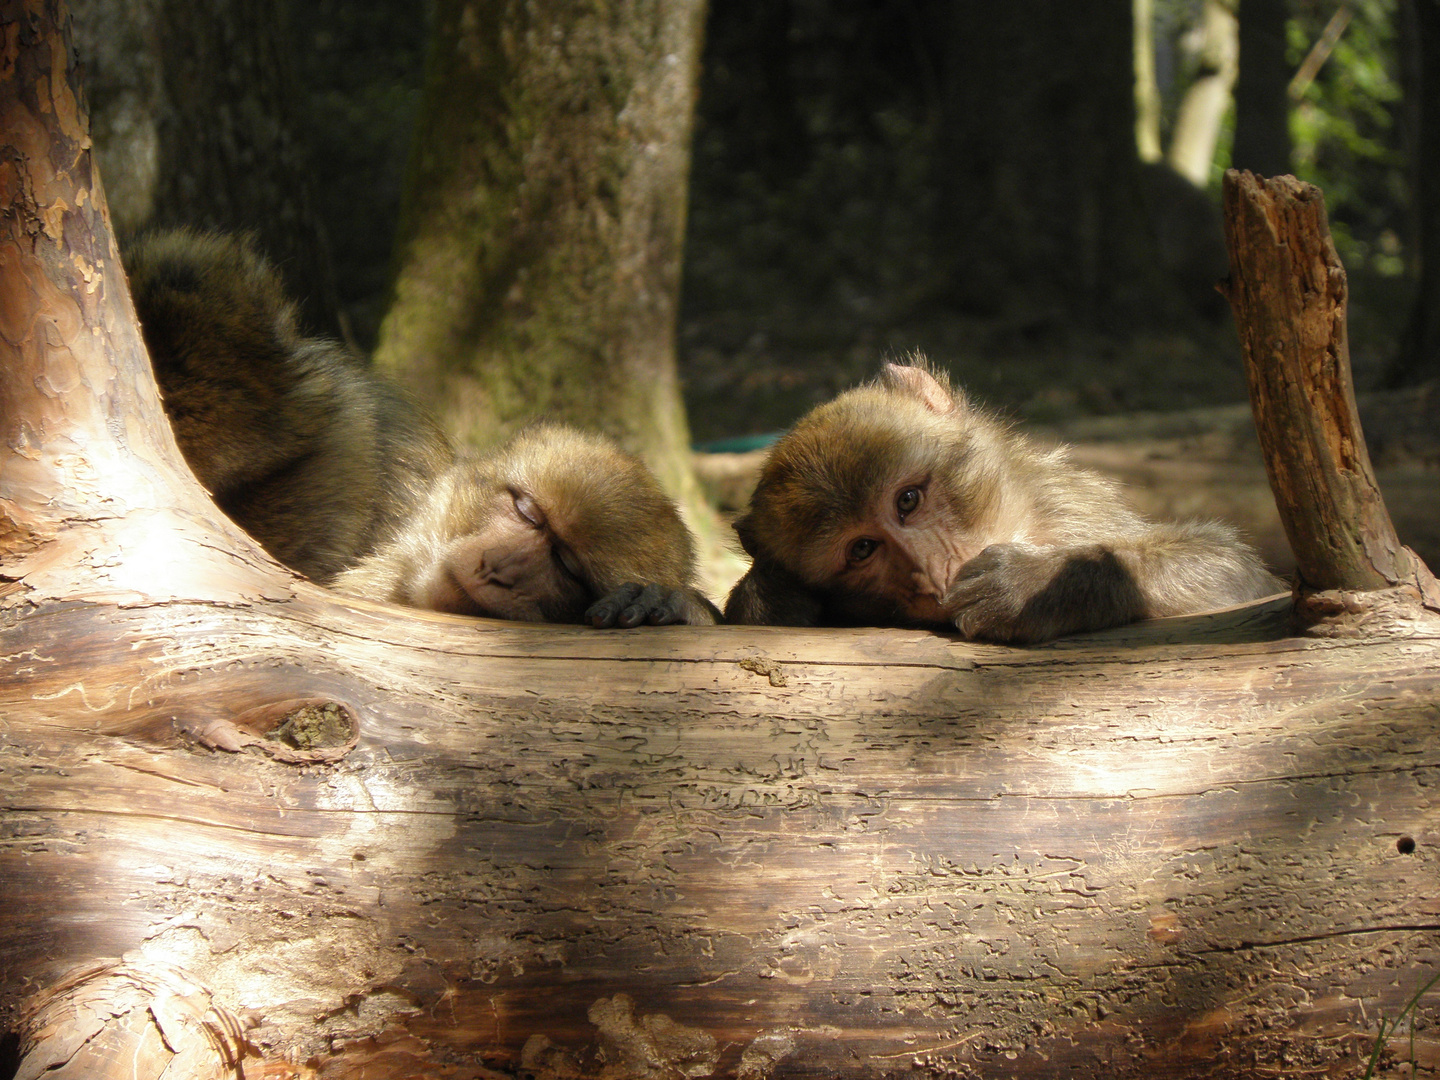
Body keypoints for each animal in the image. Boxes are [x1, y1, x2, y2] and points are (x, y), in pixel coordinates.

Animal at [725, 360, 1290, 642]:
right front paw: (766, 595)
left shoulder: (1072, 508)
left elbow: (1237, 574)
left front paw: (1033, 584)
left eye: (907, 500)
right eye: (862, 549)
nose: (934, 578)